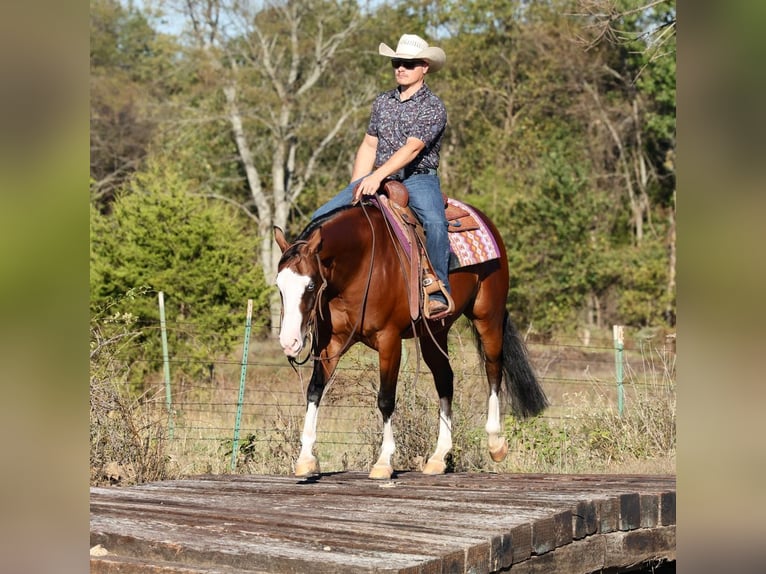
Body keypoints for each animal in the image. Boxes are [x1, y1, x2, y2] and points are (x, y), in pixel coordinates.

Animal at [274, 198, 548, 480]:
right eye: (279, 286)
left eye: (310, 286)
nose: (289, 342)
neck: (359, 266)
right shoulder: (331, 343)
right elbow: (314, 390)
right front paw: (306, 458)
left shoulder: (389, 340)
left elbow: (385, 399)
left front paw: (383, 462)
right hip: (434, 332)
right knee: (445, 380)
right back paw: (438, 457)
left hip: (487, 315)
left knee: (493, 369)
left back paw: (495, 443)